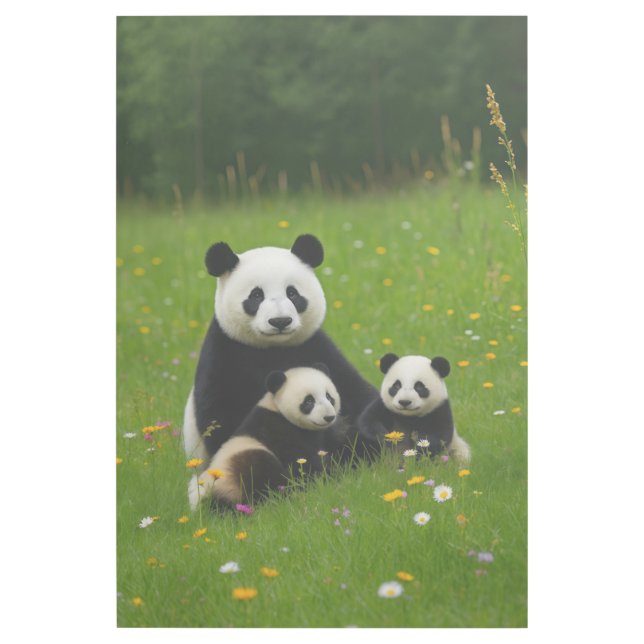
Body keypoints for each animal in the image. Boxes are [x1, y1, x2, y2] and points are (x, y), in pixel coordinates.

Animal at [182, 234, 379, 471]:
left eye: (292, 293)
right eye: (256, 296)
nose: (280, 321)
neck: (273, 348)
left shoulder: (314, 347)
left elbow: (356, 393)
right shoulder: (225, 350)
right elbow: (222, 415)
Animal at [188, 364, 344, 509]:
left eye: (329, 397)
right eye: (309, 401)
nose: (329, 417)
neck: (277, 409)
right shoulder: (276, 430)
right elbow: (302, 460)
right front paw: (326, 478)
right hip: (238, 466)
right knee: (260, 471)